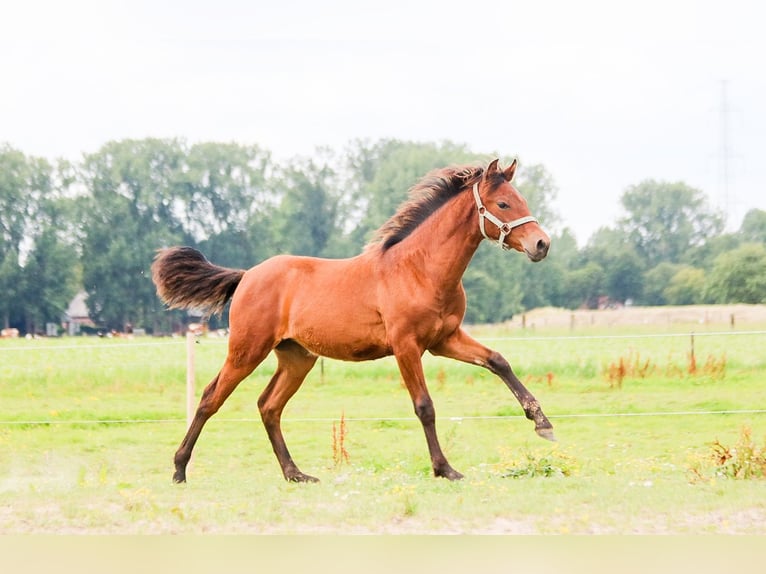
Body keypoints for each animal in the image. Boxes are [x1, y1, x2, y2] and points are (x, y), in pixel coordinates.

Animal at [153, 159, 556, 486]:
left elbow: (498, 361)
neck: (420, 269)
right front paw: (445, 469)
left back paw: (295, 473)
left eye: (521, 199)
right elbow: (424, 406)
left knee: (269, 405)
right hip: (247, 350)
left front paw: (542, 423)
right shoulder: (406, 346)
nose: (542, 244)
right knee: (211, 398)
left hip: (297, 358)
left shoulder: (445, 340)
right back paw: (179, 469)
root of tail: (247, 275)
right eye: (503, 204)